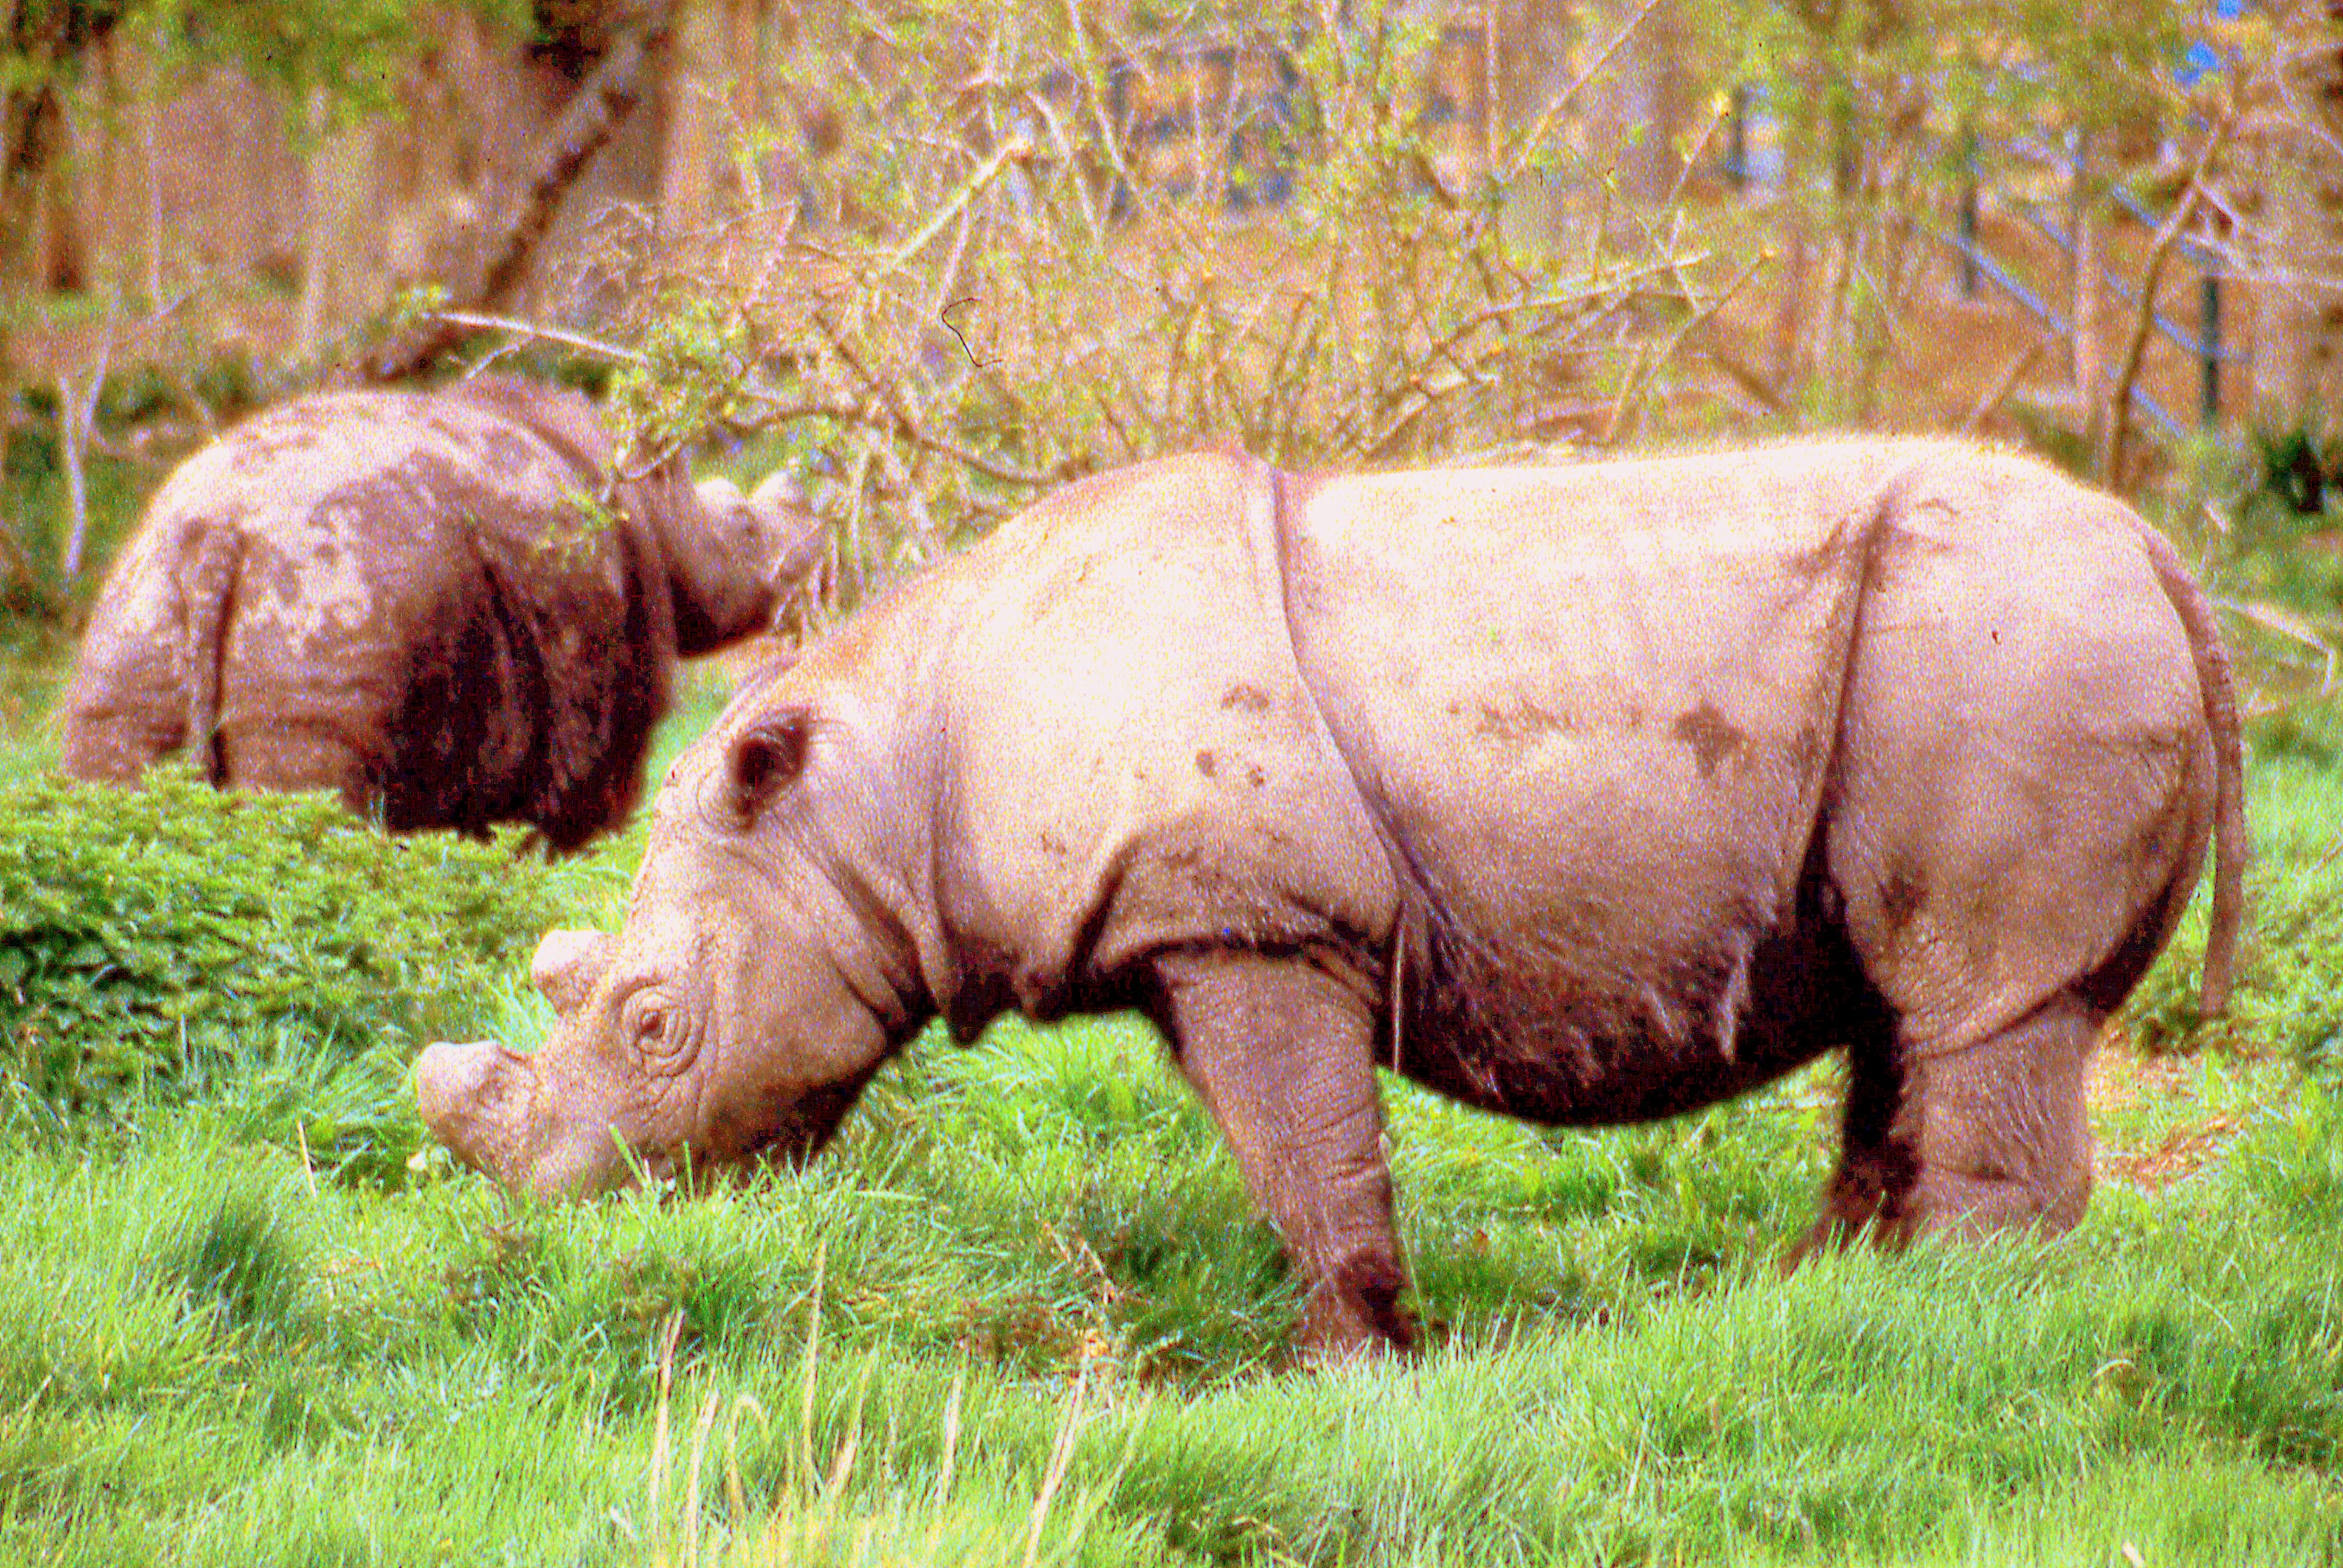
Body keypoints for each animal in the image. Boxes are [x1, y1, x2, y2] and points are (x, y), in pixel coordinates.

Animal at [59, 378, 825, 852]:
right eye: (745, 530)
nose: (811, 533)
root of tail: (213, 535)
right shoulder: (589, 744)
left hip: (139, 620)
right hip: (328, 598)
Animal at [417, 439, 2245, 1355]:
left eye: (652, 1022)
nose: (561, 1205)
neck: (887, 781)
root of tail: (2164, 558)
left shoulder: (1249, 919)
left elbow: (1303, 1148)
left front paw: (1341, 1365)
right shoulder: (1190, 923)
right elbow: (1290, 1147)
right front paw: (1353, 1340)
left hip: (2006, 652)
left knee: (1979, 997)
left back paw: (1949, 1333)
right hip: (1987, 653)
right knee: (1903, 1012)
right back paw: (1814, 1302)